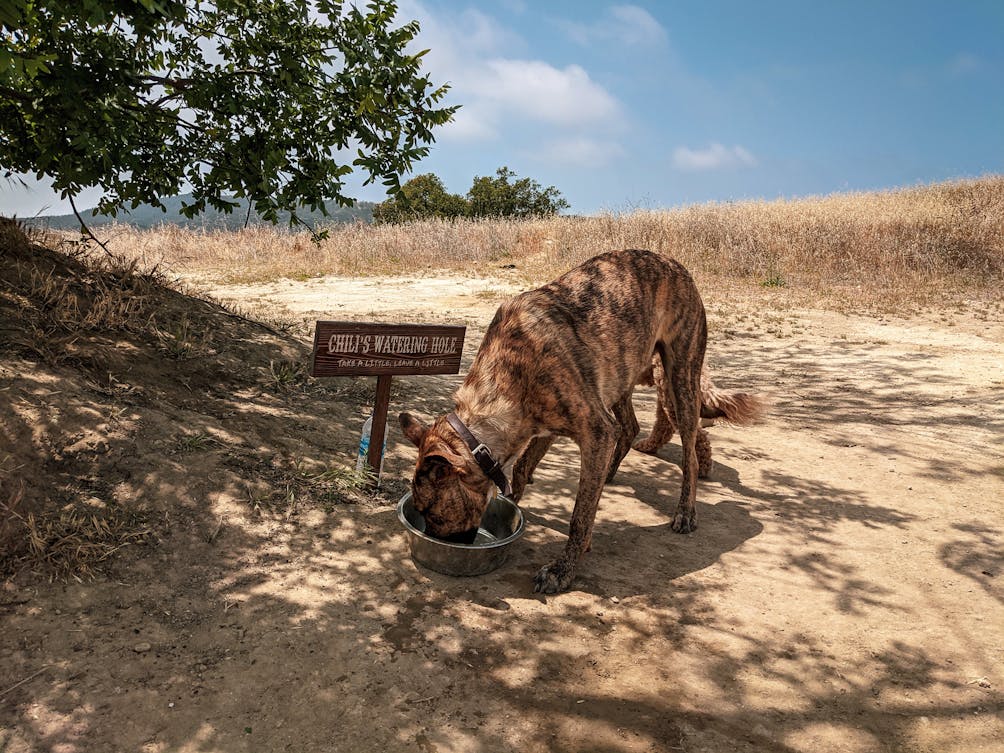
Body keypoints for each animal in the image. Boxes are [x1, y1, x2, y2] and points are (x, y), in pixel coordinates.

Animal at [397, 250, 706, 594]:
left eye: (432, 513)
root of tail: (674, 263)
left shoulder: (596, 431)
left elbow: (579, 516)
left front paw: (563, 569)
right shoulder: (541, 427)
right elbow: (521, 469)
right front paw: (515, 504)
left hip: (681, 378)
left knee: (690, 450)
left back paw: (685, 511)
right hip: (621, 376)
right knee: (629, 427)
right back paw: (609, 474)